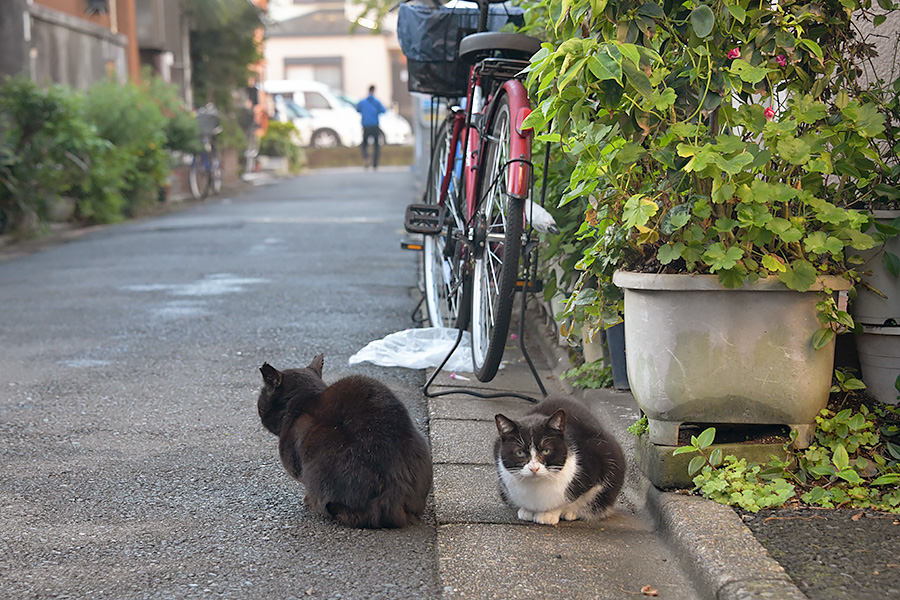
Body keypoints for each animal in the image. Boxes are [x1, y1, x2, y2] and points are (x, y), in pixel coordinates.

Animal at [492, 398, 624, 524]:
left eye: (546, 451)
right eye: (520, 453)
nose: (534, 468)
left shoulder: (599, 460)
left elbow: (568, 500)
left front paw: (550, 514)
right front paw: (527, 510)